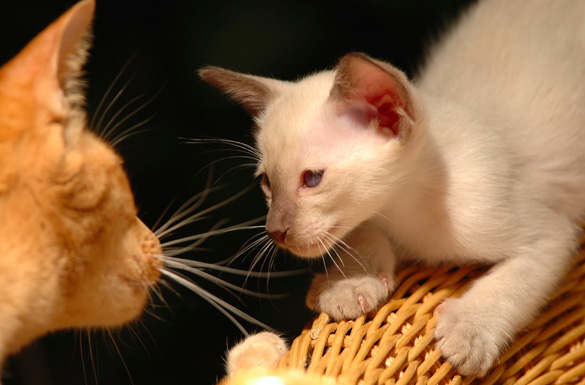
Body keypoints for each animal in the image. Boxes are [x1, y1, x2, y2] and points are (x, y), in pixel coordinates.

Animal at [200, 0, 584, 376]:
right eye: (267, 182)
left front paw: (469, 332)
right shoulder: (369, 220)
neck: (407, 211)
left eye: (311, 179)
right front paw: (349, 284)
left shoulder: (549, 235)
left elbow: (509, 284)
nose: (275, 231)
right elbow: (365, 234)